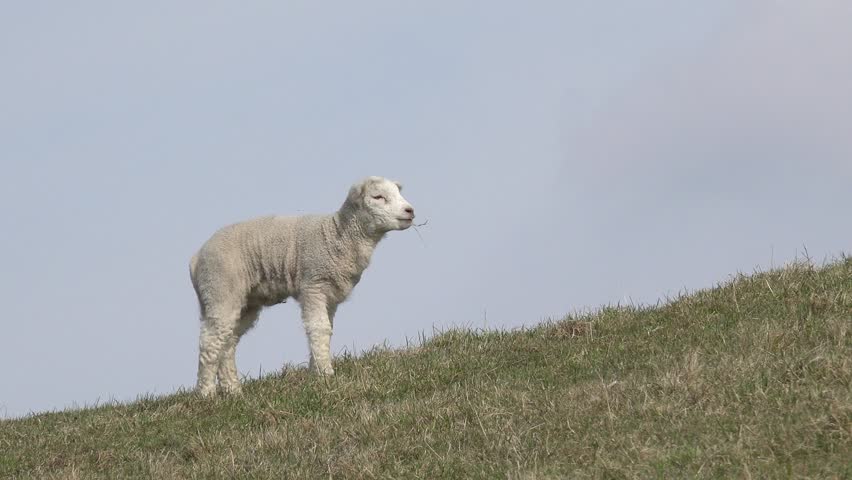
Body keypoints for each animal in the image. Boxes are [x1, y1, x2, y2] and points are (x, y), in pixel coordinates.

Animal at [189, 176, 416, 397]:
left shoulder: (329, 294)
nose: (410, 210)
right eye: (378, 197)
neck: (338, 235)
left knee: (228, 342)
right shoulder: (314, 284)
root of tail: (196, 258)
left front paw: (316, 374)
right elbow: (319, 328)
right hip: (220, 289)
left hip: (245, 302)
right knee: (210, 341)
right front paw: (326, 375)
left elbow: (325, 329)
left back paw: (233, 391)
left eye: (398, 193)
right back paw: (206, 394)